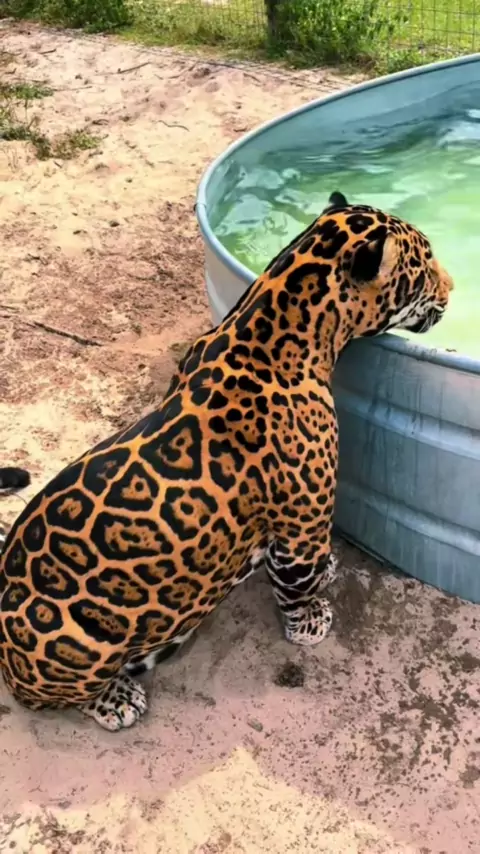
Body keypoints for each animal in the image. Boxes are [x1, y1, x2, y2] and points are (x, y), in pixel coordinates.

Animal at [0, 191, 453, 731]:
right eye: (425, 265)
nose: (452, 289)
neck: (272, 324)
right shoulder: (302, 524)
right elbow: (296, 583)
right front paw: (309, 620)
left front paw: (327, 572)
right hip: (72, 647)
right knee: (52, 695)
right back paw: (117, 699)